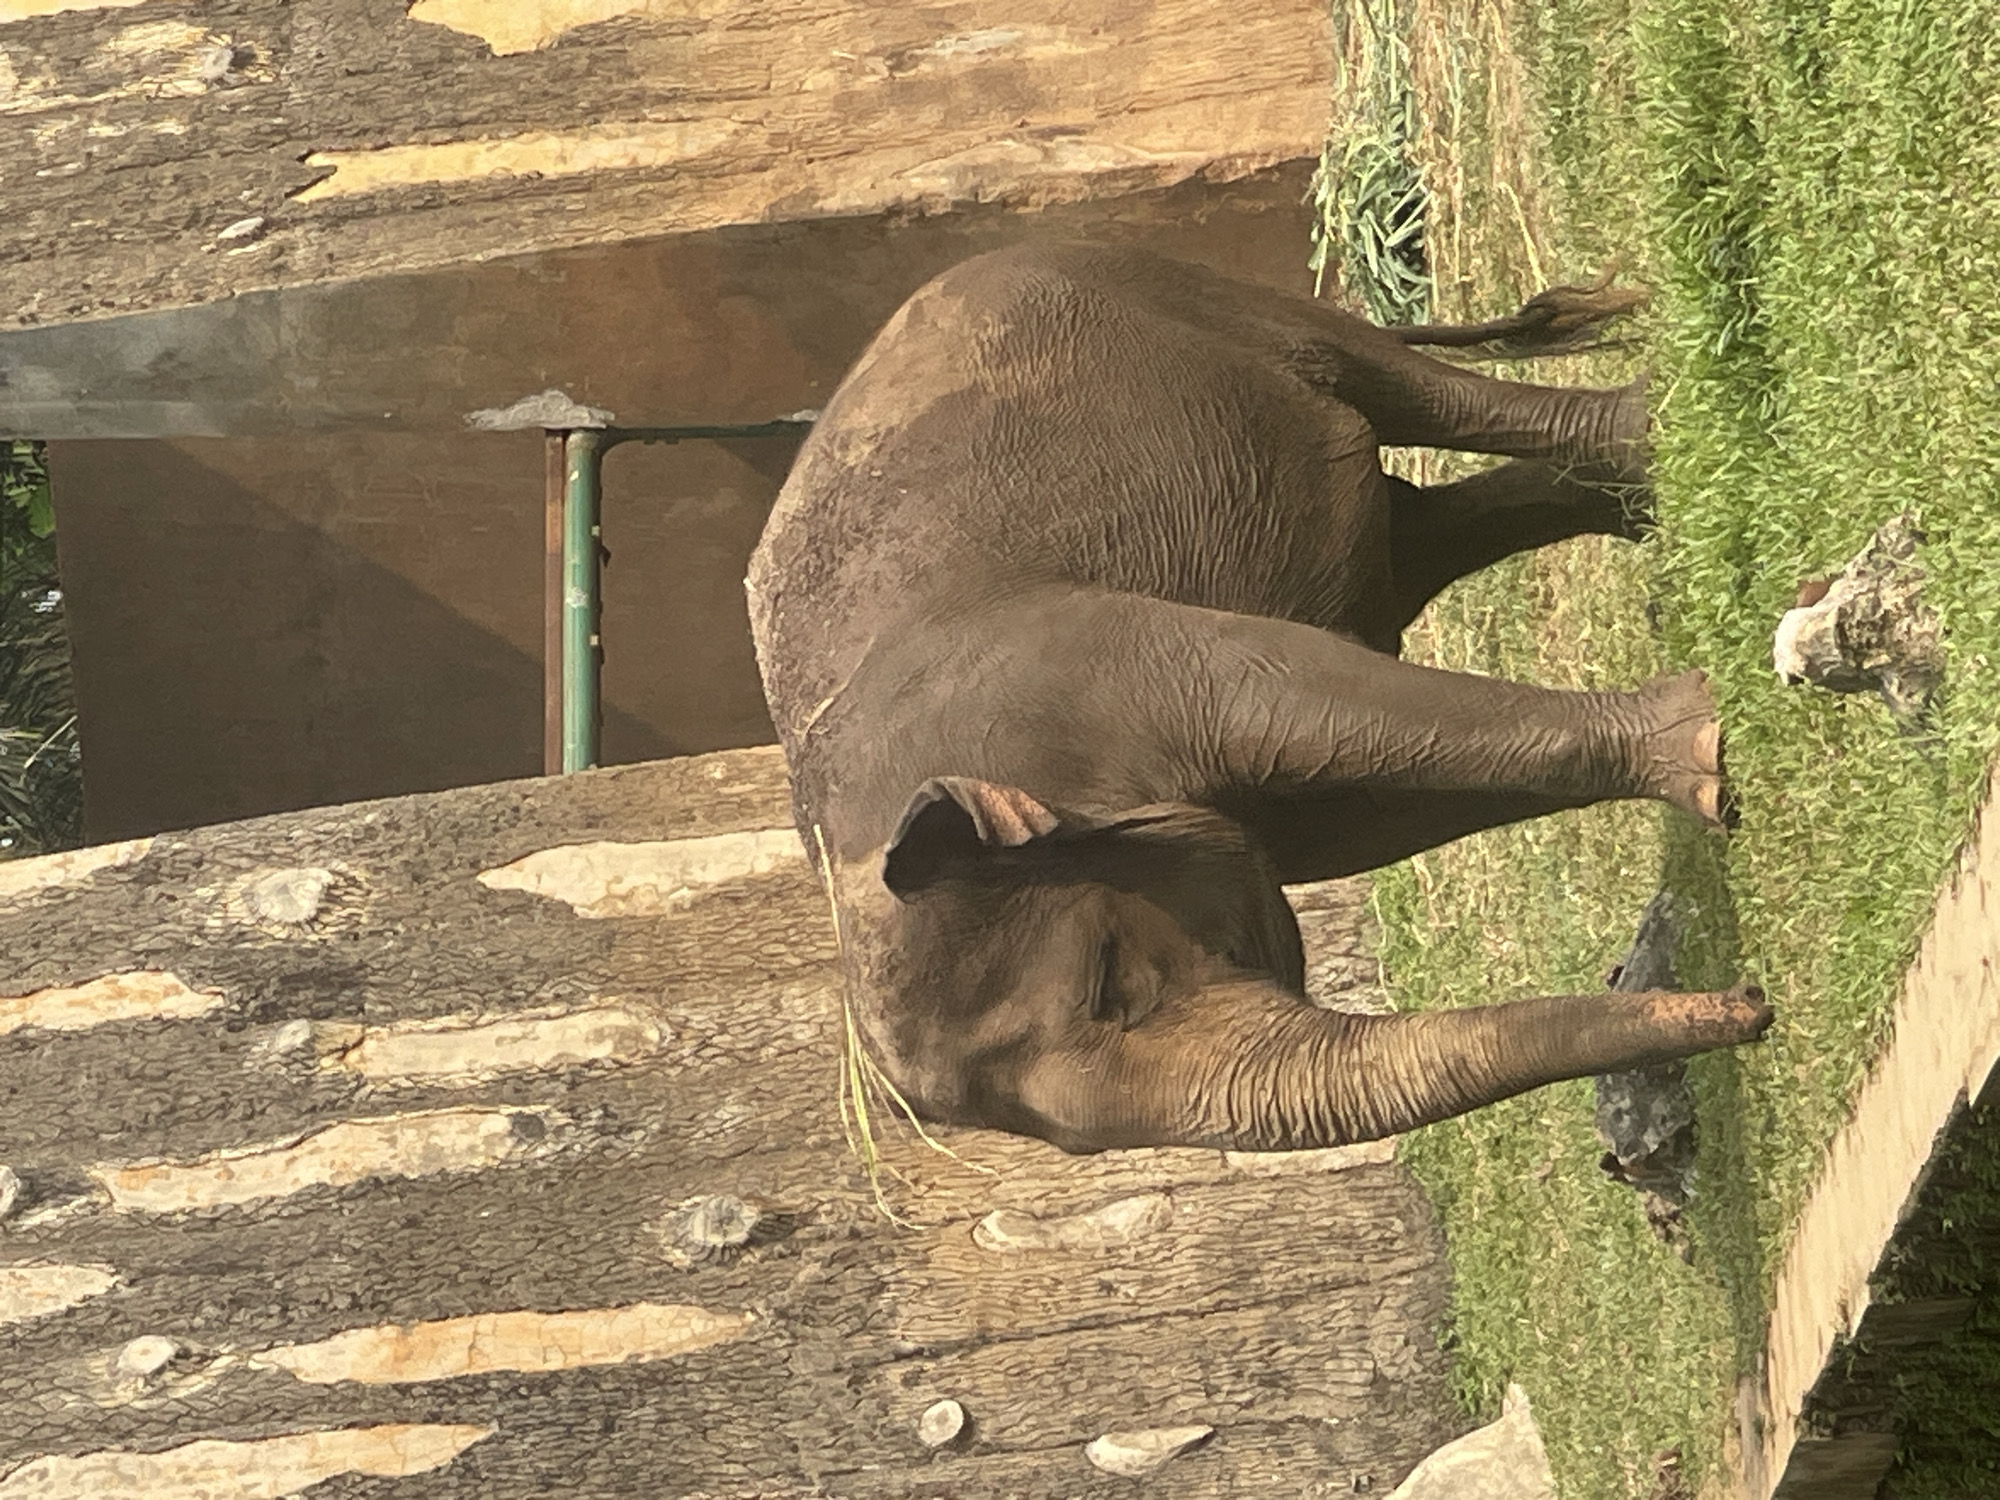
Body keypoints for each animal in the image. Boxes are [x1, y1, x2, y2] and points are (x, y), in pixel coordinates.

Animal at [745, 243, 1770, 1154]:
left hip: (1182, 294)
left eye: (1109, 981)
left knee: (1416, 394)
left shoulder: (1099, 665)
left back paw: (1647, 439)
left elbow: (1317, 698)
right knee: (1416, 531)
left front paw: (1707, 754)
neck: (857, 851)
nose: (1752, 1003)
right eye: (1077, 1151)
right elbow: (1377, 812)